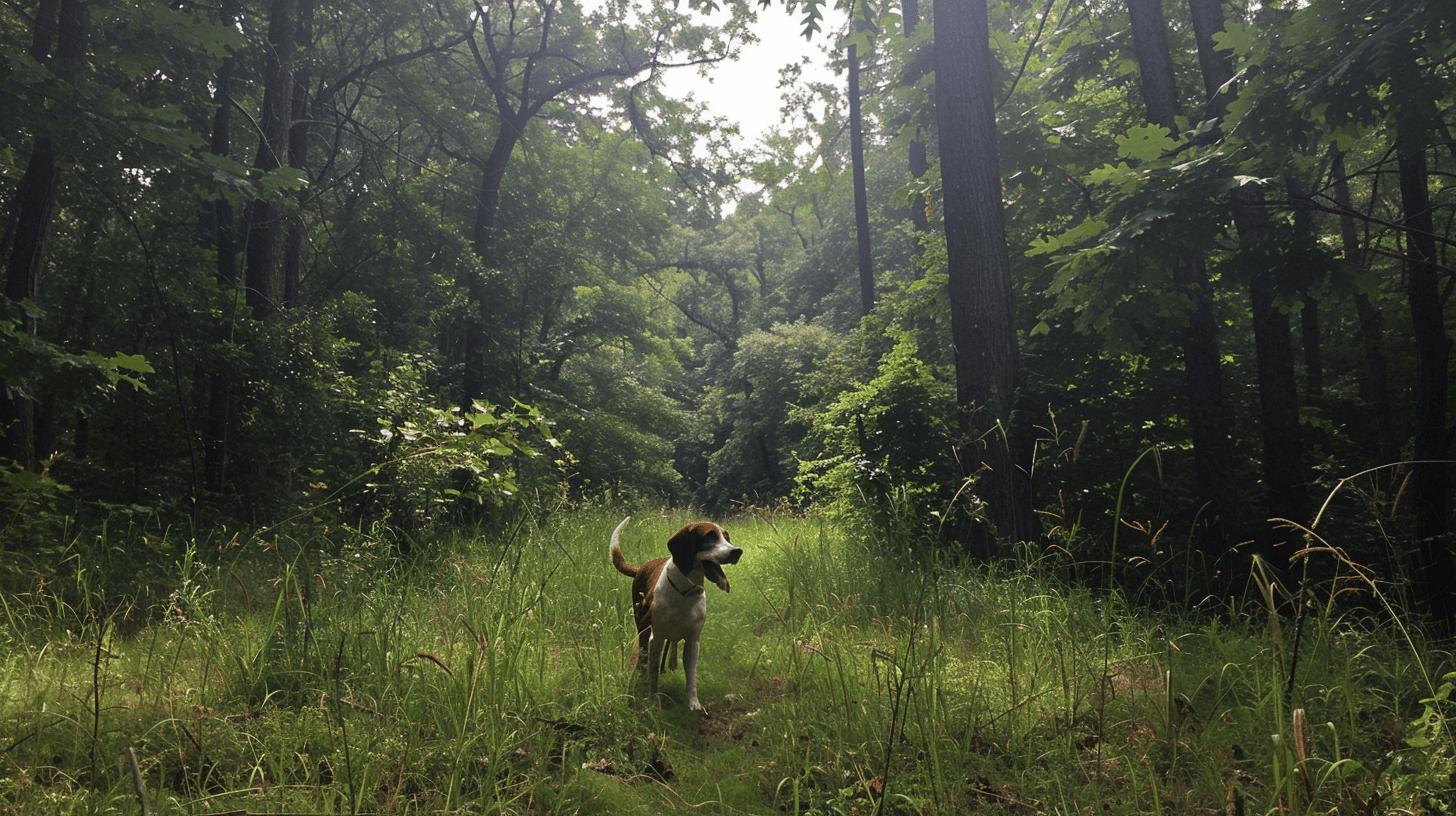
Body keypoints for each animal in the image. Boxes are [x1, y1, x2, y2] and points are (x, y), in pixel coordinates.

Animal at [608, 515, 739, 714]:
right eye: (709, 536)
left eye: (726, 537)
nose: (737, 552)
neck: (685, 591)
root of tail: (640, 568)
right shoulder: (656, 638)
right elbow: (653, 674)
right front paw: (653, 703)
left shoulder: (693, 641)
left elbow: (691, 677)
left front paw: (693, 703)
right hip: (642, 629)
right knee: (643, 658)